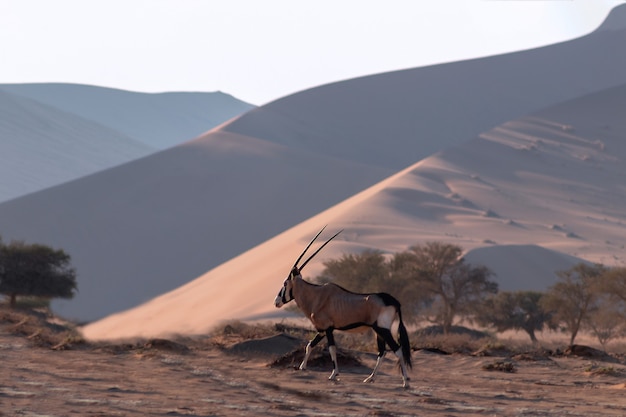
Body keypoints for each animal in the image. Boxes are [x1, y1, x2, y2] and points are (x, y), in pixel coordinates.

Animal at [272, 228, 410, 386]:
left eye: (285, 283)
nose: (276, 302)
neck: (316, 295)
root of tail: (394, 301)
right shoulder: (322, 330)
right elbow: (310, 345)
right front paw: (302, 367)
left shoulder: (328, 329)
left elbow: (332, 348)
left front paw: (333, 374)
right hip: (379, 332)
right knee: (382, 352)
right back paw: (370, 378)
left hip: (382, 329)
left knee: (397, 350)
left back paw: (405, 382)